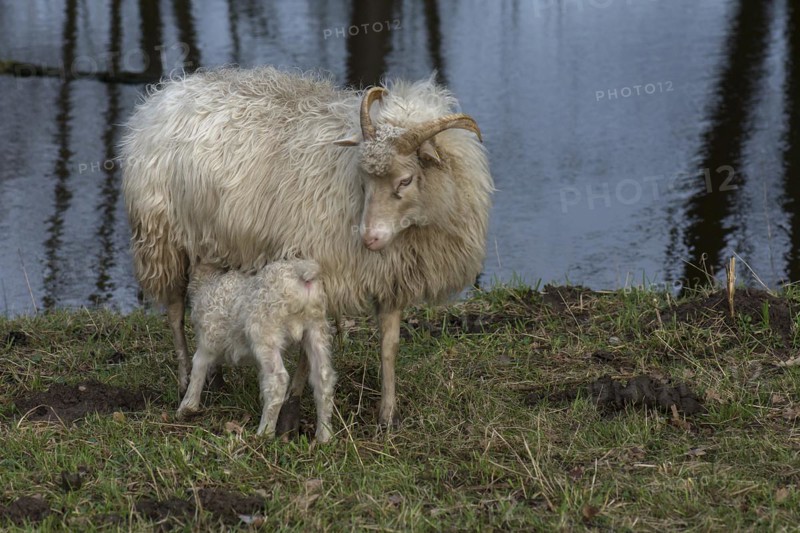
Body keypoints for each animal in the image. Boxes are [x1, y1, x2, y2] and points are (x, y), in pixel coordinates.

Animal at [177, 259, 336, 441]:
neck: (209, 281)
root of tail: (303, 273)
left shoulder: (208, 339)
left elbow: (198, 368)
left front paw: (187, 407)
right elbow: (262, 377)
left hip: (264, 329)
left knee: (278, 380)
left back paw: (264, 433)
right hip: (316, 327)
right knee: (323, 378)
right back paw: (324, 436)